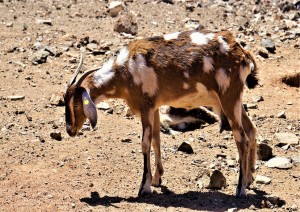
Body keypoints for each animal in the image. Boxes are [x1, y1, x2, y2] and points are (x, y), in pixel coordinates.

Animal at [64, 29, 258, 198]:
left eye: (76, 103)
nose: (69, 129)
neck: (126, 70)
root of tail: (243, 54)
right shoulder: (155, 107)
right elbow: (156, 139)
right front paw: (157, 179)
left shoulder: (145, 107)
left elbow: (145, 143)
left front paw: (144, 187)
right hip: (234, 102)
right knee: (251, 129)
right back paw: (249, 179)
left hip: (229, 98)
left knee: (242, 139)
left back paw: (240, 189)